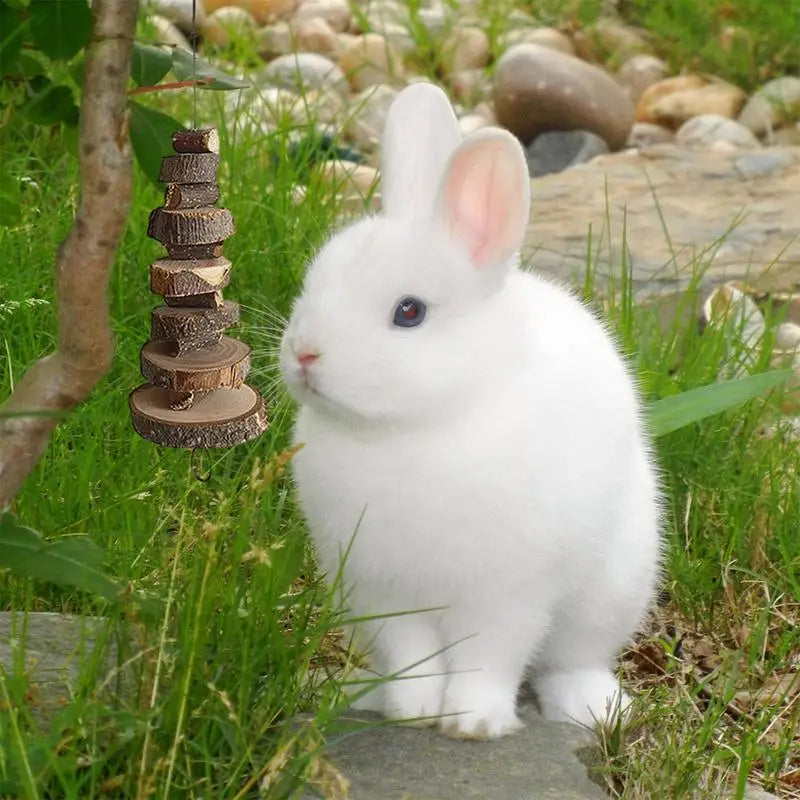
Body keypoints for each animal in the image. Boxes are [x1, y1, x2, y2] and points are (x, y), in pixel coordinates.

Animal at [279, 82, 662, 740]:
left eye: (409, 312)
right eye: (314, 281)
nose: (305, 352)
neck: (411, 428)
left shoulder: (508, 595)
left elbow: (489, 659)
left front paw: (472, 724)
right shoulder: (382, 594)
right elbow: (411, 658)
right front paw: (412, 713)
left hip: (612, 590)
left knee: (573, 659)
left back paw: (590, 709)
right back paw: (364, 694)